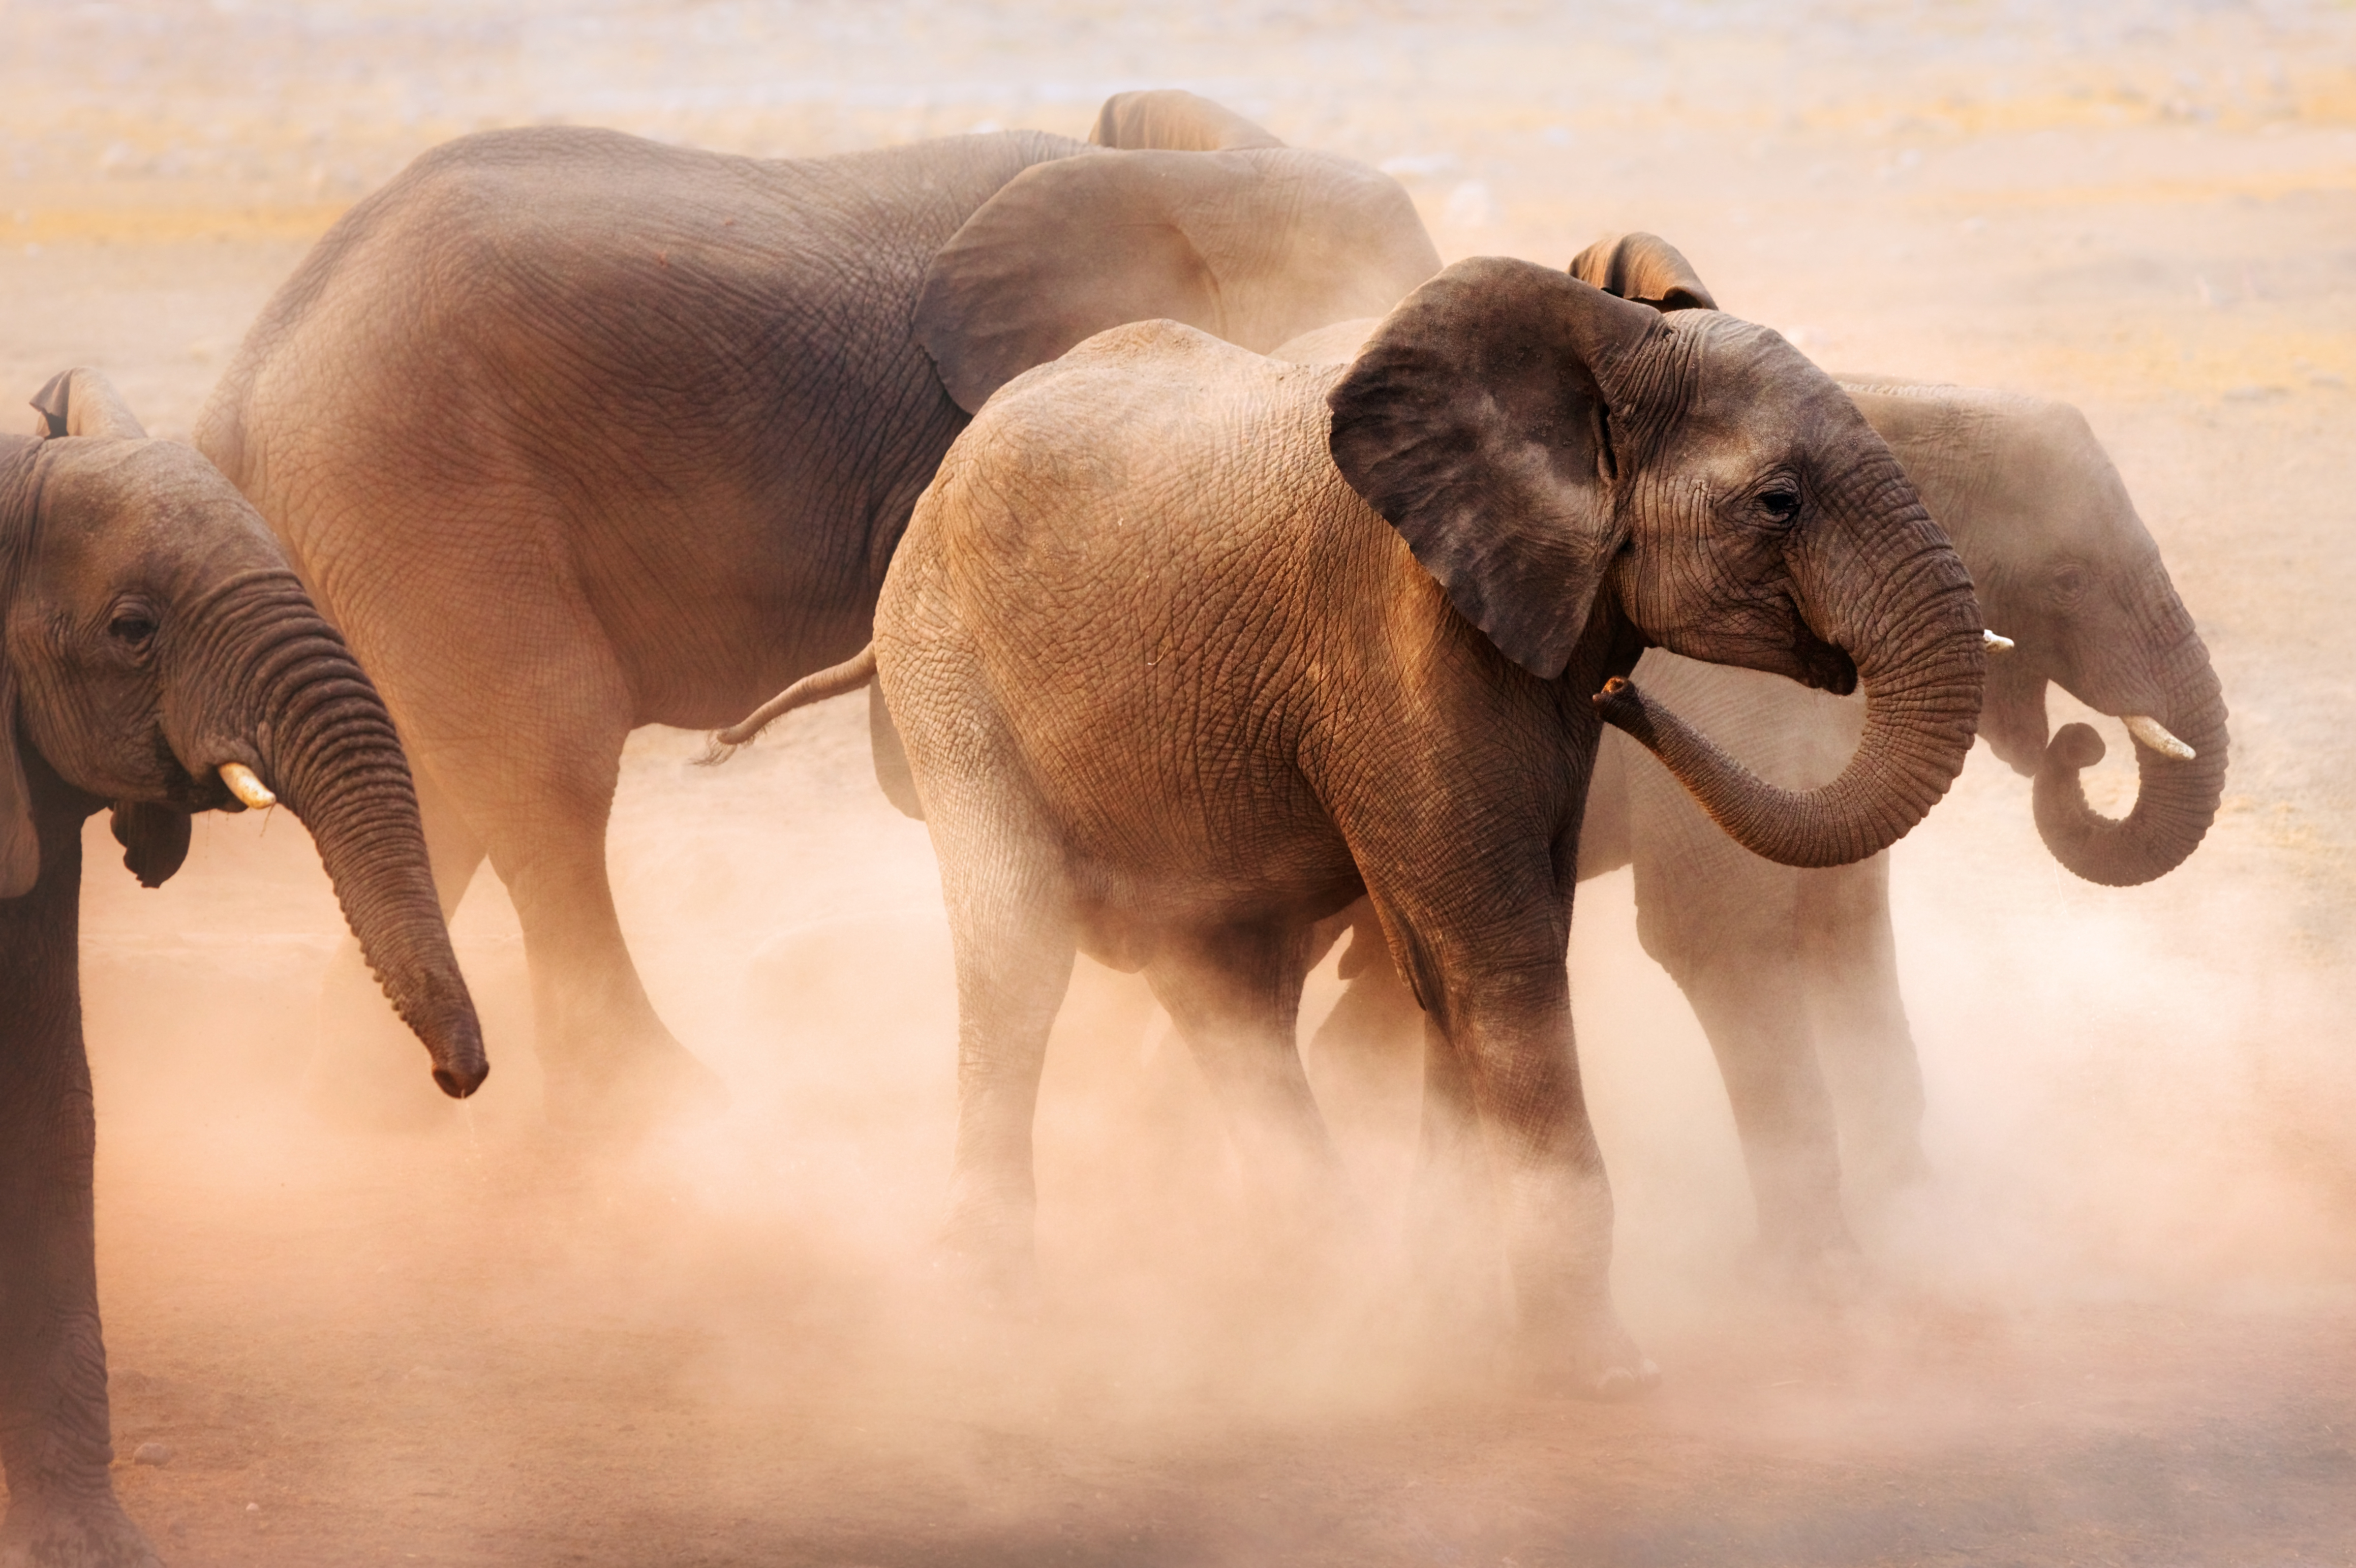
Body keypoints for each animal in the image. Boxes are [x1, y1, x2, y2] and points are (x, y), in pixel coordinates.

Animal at [193, 91, 1432, 1130]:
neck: (1192, 181)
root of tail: (237, 400)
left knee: (436, 792)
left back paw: (368, 1110)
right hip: (420, 487)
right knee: (543, 766)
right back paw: (664, 1116)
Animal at [730, 259, 1988, 1394]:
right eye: (1779, 501)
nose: (1624, 699)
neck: (1598, 339)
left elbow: (1456, 963)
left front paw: (1449, 1315)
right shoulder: (1394, 640)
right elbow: (1496, 953)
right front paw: (1601, 1370)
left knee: (1223, 979)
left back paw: (1320, 1281)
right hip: (941, 660)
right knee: (1019, 950)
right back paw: (991, 1302)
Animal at [1281, 232, 2214, 1262]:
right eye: (2068, 579)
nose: (2079, 746)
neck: (1886, 406)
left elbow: (1847, 925)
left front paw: (1915, 1228)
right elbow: (1718, 930)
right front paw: (1827, 1276)